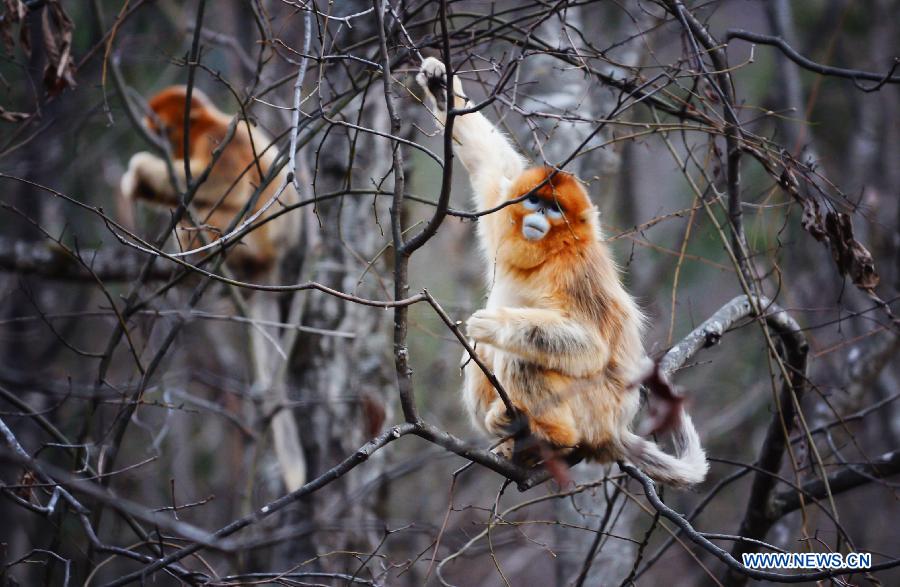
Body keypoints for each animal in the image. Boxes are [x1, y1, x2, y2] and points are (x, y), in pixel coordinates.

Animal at [121, 85, 308, 494]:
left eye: (164, 132)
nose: (161, 145)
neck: (208, 124)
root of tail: (271, 258)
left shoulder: (220, 142)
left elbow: (222, 185)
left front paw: (140, 176)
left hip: (243, 237)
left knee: (210, 209)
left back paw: (200, 254)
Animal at [418, 57, 708, 486]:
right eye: (534, 200)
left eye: (554, 208)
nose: (538, 215)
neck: (549, 252)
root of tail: (613, 429)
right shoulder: (501, 210)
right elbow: (492, 164)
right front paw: (440, 88)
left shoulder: (576, 271)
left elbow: (592, 346)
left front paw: (497, 323)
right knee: (479, 358)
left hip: (592, 407)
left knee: (522, 355)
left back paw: (552, 433)